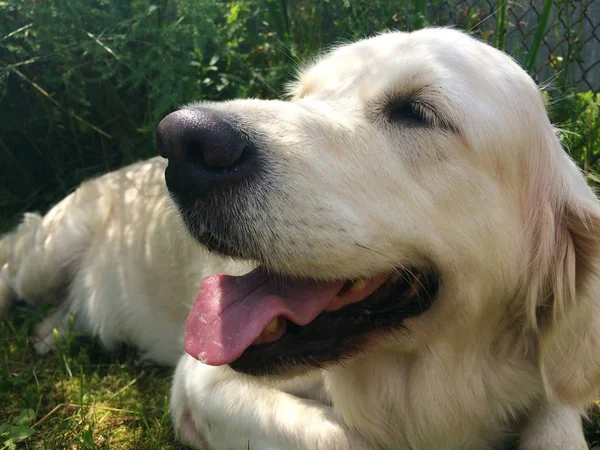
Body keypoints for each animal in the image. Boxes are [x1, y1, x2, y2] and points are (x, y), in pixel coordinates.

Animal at [2, 29, 596, 450]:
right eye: (302, 95)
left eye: (415, 111)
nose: (182, 140)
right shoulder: (201, 383)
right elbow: (347, 440)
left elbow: (557, 421)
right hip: (46, 250)